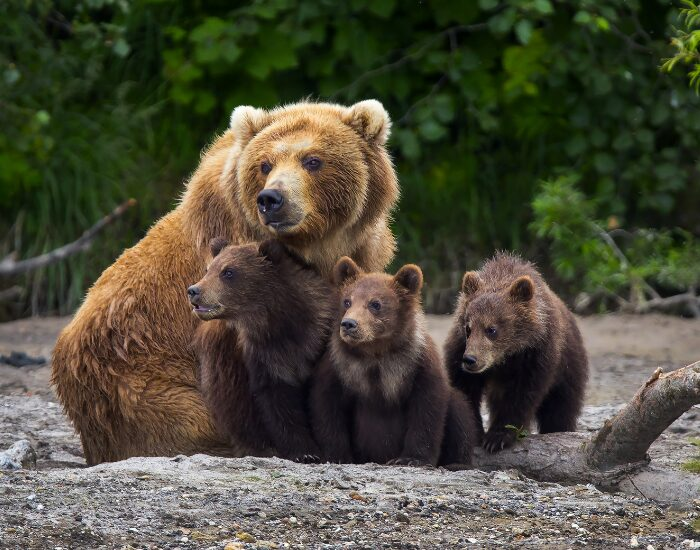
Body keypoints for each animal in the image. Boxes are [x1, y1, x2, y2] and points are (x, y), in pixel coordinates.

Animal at [189, 238, 335, 462]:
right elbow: (278, 404)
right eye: (208, 269)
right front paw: (304, 452)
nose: (194, 290)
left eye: (228, 272)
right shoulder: (265, 356)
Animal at [310, 257, 477, 467]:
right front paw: (338, 456)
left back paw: (457, 462)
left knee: (459, 409)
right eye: (347, 301)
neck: (375, 352)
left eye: (375, 303)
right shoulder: (340, 366)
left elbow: (427, 409)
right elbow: (327, 407)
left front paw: (411, 458)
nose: (349, 324)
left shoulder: (417, 363)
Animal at [443, 252, 588, 453]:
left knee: (561, 407)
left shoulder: (537, 354)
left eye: (491, 329)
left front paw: (497, 437)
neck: (506, 356)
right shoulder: (459, 348)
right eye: (468, 328)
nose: (470, 360)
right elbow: (465, 388)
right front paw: (476, 432)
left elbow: (523, 395)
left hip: (569, 367)